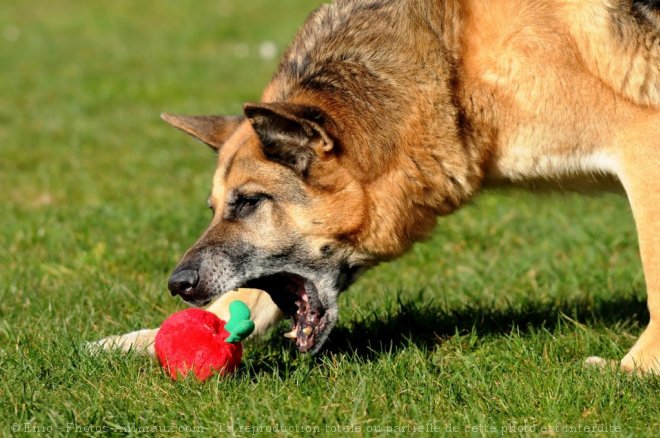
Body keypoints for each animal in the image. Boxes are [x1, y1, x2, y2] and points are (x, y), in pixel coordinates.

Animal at [95, 0, 656, 372]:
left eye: (249, 202)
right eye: (215, 208)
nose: (177, 284)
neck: (455, 64)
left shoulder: (642, 152)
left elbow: (654, 284)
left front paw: (633, 372)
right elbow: (248, 301)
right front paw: (146, 339)